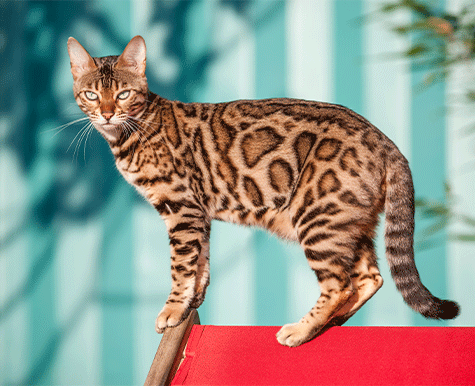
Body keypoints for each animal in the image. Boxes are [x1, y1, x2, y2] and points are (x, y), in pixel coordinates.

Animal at [68, 34, 462, 346]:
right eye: (91, 94)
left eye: (123, 94)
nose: (106, 114)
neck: (130, 134)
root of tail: (385, 141)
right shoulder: (197, 212)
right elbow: (200, 262)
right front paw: (192, 301)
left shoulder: (181, 207)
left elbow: (180, 266)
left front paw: (172, 309)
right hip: (349, 221)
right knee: (369, 276)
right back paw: (331, 323)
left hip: (318, 217)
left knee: (340, 283)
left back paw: (300, 330)